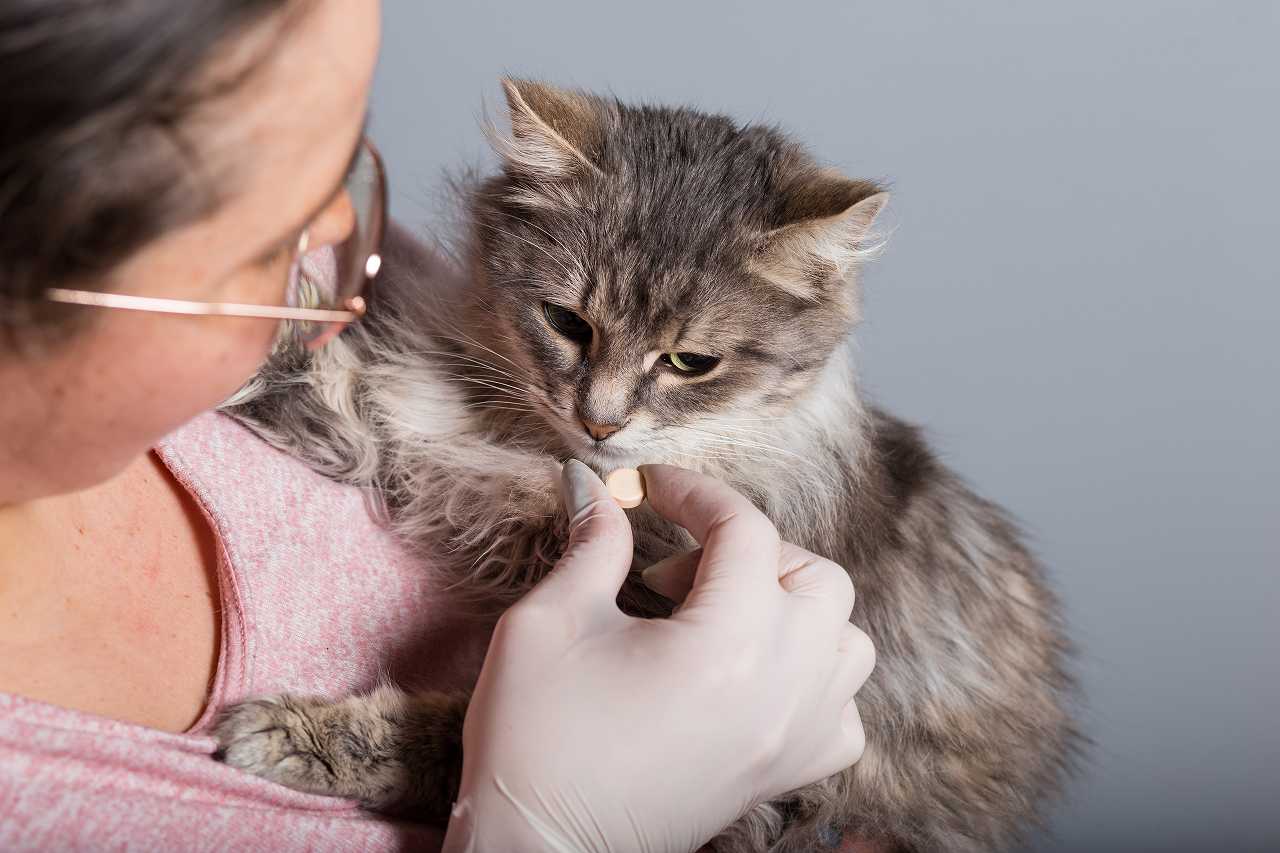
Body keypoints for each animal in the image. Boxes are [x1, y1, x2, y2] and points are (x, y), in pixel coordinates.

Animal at [212, 79, 1080, 850]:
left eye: (691, 362)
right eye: (568, 322)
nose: (600, 420)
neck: (542, 457)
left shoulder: (761, 767)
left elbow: (457, 732)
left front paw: (296, 731)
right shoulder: (408, 435)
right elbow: (318, 383)